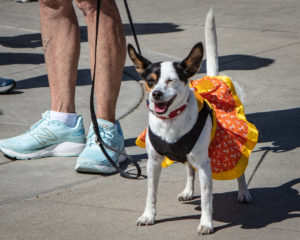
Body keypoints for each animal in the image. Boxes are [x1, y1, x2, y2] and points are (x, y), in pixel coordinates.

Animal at [127, 8, 254, 234]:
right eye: (150, 81)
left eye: (171, 80)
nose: (156, 94)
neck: (170, 122)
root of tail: (214, 77)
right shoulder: (153, 162)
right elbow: (151, 194)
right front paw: (148, 215)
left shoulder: (204, 165)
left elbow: (206, 199)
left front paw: (206, 223)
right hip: (188, 154)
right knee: (189, 169)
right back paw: (188, 190)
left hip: (232, 146)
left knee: (239, 170)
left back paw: (243, 192)